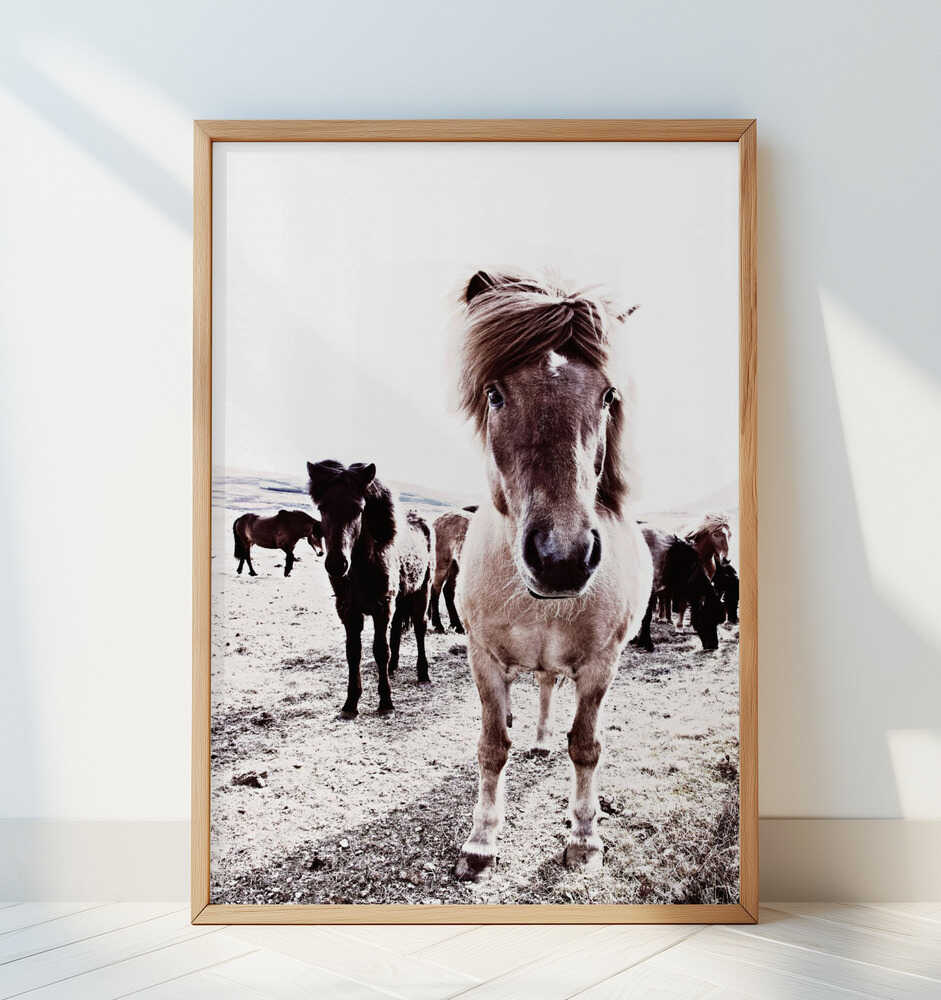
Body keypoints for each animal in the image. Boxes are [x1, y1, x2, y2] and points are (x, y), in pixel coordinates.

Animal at [307, 460, 432, 718]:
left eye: (358, 509)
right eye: (322, 507)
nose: (336, 564)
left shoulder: (382, 606)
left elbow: (380, 650)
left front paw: (386, 702)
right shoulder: (348, 611)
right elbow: (353, 652)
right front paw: (350, 703)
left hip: (421, 592)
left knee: (419, 628)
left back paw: (423, 673)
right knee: (397, 629)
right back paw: (393, 668)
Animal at [452, 270, 651, 882]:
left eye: (608, 396)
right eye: (495, 394)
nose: (561, 556)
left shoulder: (601, 664)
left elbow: (585, 746)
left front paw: (585, 838)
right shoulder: (483, 658)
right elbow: (492, 745)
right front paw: (481, 842)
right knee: (539, 689)